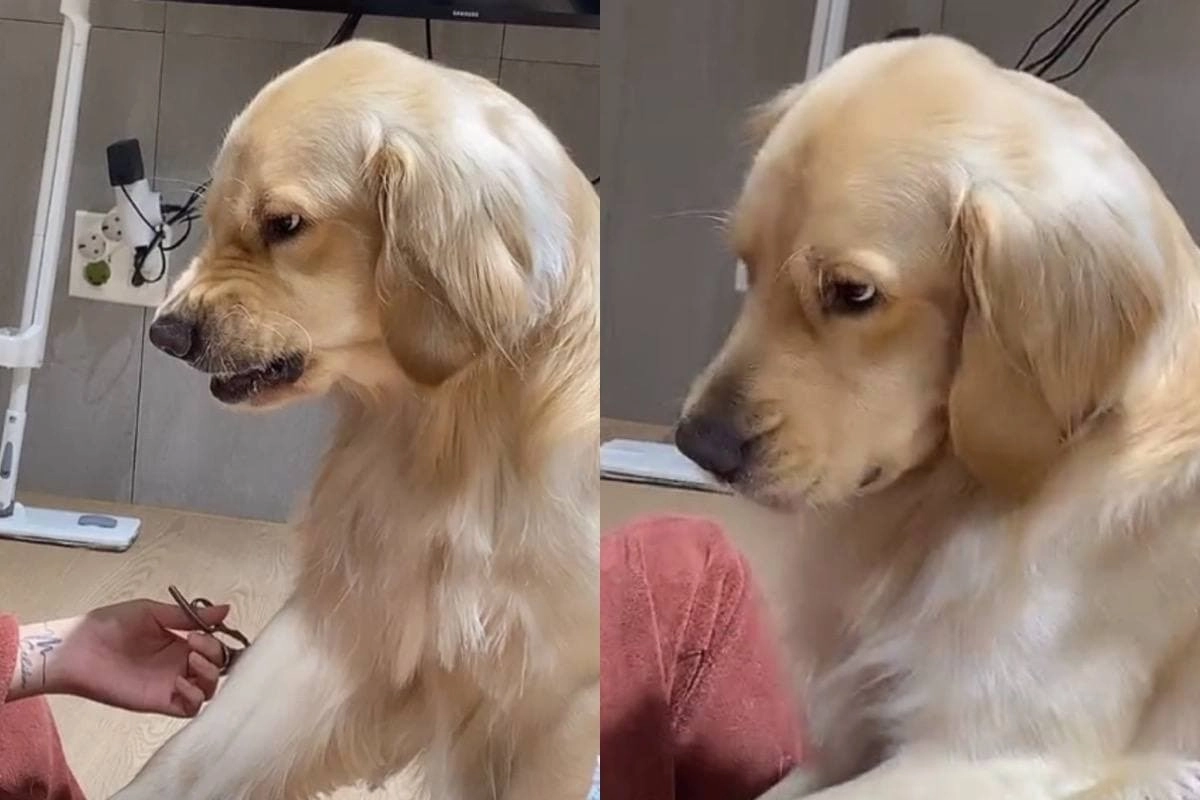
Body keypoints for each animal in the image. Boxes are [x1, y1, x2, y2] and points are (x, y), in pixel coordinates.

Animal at [113, 40, 598, 800]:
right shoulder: (357, 613)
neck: (452, 423)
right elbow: (191, 756)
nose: (165, 334)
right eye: (212, 216)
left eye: (284, 224)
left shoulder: (557, 699)